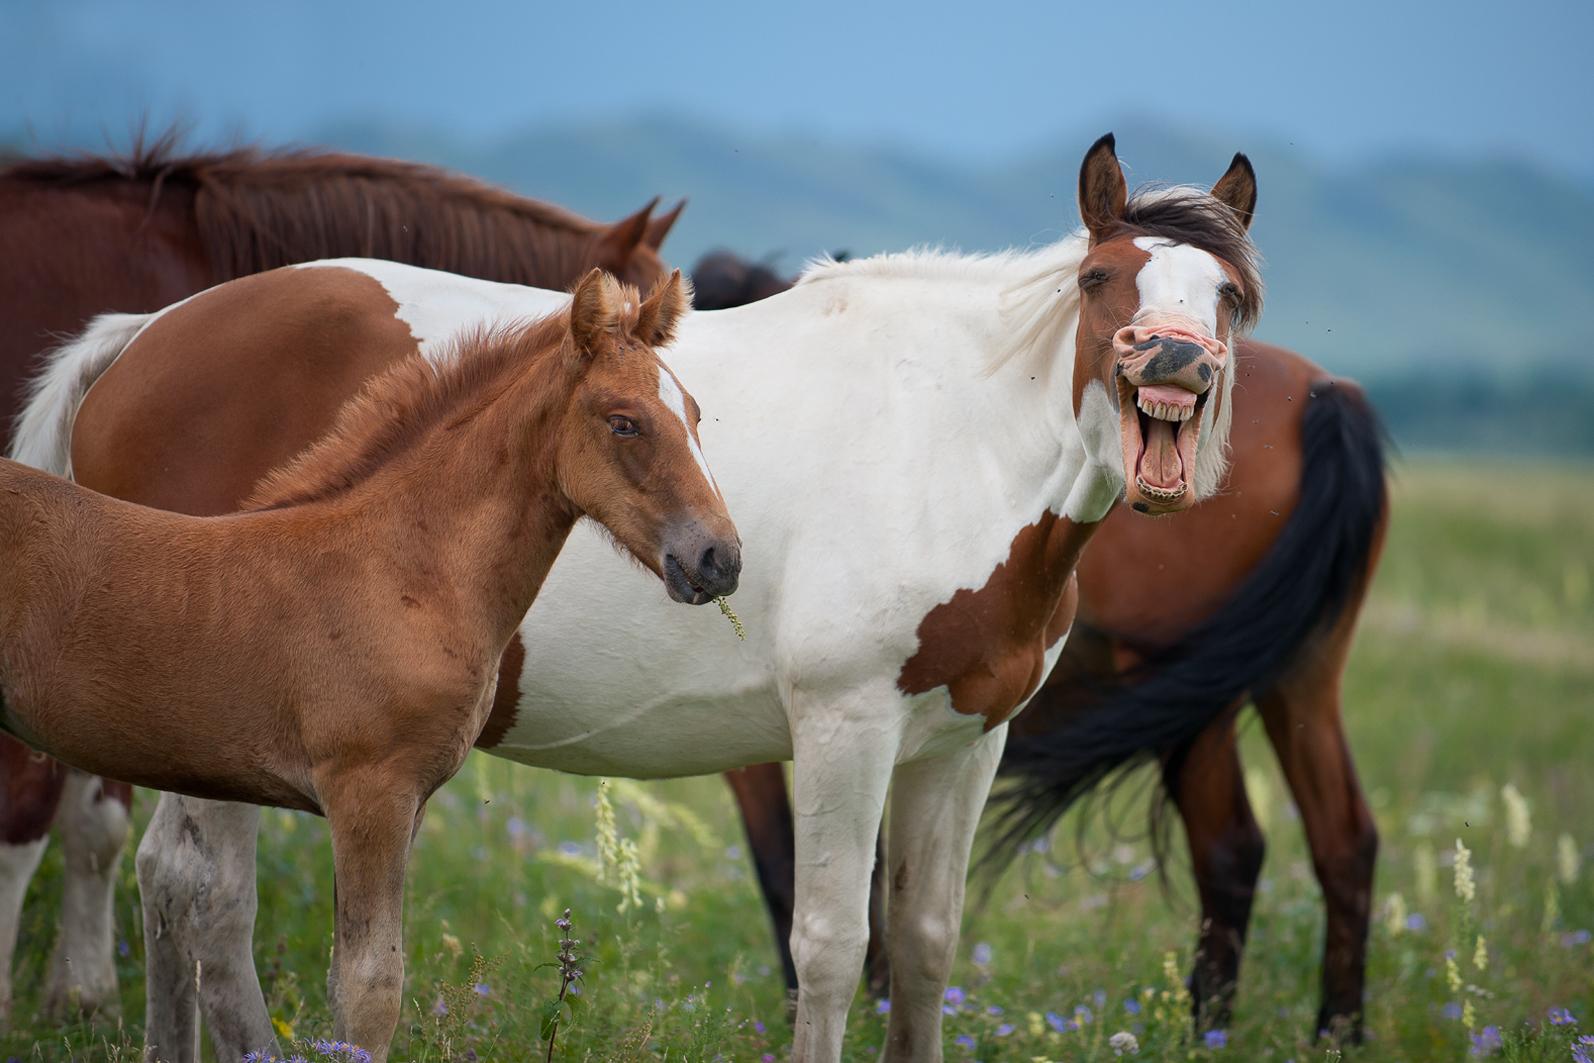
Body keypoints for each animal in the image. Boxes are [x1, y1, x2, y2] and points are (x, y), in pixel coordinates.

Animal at [691, 251, 1389, 1039]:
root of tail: (1326, 395)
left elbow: (786, 867)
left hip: (1195, 712)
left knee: (1231, 847)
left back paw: (1208, 1031)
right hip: (1297, 680)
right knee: (1343, 841)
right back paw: (1330, 1032)